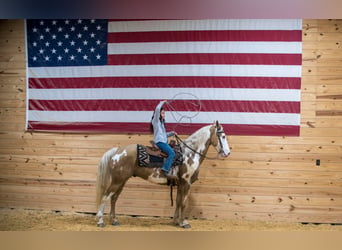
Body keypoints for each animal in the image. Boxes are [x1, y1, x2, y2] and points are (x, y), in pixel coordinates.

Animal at [95, 121, 231, 229]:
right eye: (223, 136)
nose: (228, 153)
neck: (189, 153)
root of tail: (118, 151)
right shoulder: (186, 183)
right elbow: (183, 203)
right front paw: (184, 223)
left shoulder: (180, 184)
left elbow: (178, 201)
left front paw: (177, 222)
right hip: (117, 181)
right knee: (105, 197)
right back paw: (100, 221)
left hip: (121, 181)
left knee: (114, 198)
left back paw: (114, 220)